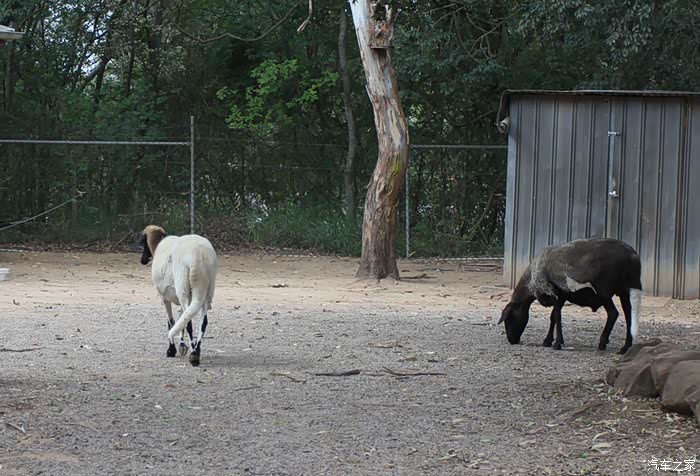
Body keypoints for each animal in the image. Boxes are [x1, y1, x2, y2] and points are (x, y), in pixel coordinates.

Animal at [138, 225, 217, 366]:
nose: (143, 260)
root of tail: (198, 256)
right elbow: (180, 318)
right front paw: (181, 345)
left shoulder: (164, 298)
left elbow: (171, 322)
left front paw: (171, 349)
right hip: (207, 291)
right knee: (202, 321)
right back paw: (196, 350)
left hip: (183, 287)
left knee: (189, 321)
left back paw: (194, 355)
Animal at [498, 238, 642, 354]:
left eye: (509, 319)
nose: (511, 340)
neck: (530, 283)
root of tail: (632, 254)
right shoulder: (561, 296)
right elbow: (553, 317)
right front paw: (548, 341)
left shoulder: (552, 292)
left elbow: (557, 316)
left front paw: (557, 343)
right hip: (624, 290)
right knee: (629, 314)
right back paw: (625, 347)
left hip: (604, 291)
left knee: (613, 313)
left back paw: (602, 343)